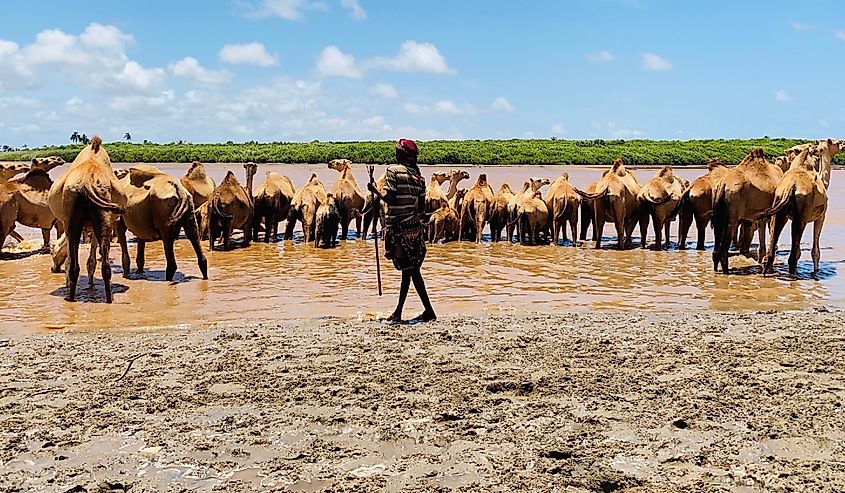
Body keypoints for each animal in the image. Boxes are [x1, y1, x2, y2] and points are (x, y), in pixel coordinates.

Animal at [48, 136, 125, 302]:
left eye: (52, 252)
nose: (53, 268)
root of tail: (86, 183)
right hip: (102, 217)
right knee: (104, 266)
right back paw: (108, 299)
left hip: (74, 220)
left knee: (74, 265)